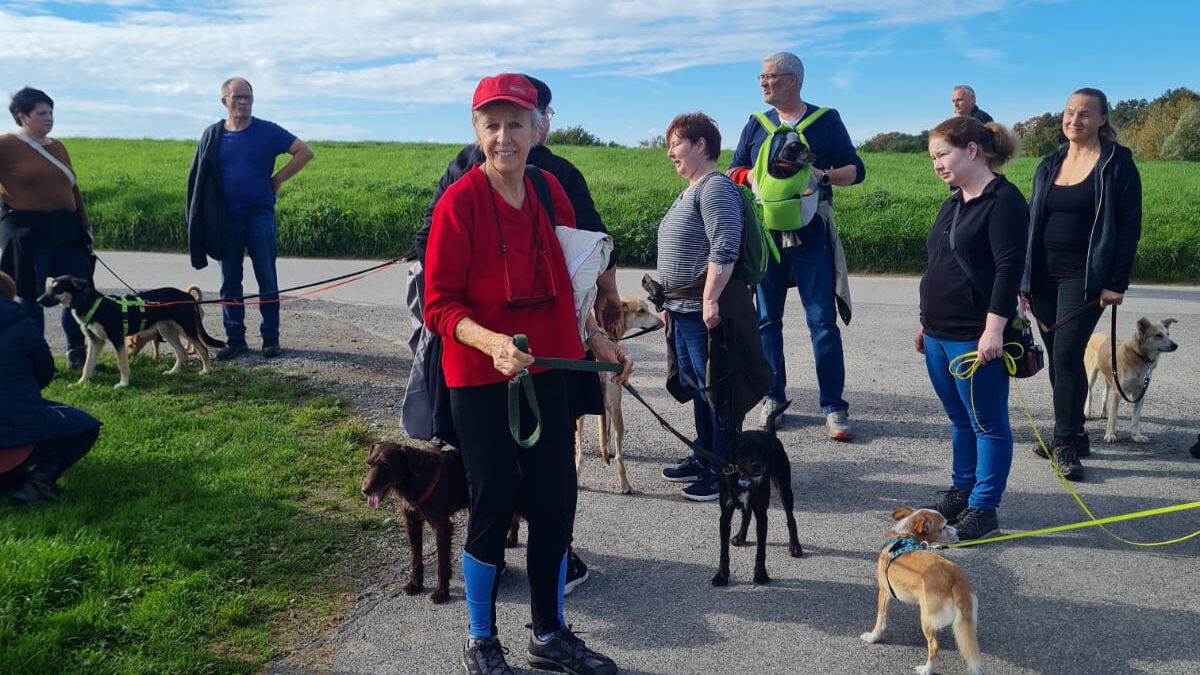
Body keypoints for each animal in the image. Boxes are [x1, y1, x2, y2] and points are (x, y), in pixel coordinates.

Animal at [38, 273, 225, 386]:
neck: (88, 302)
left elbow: (122, 364)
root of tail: (187, 296)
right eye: (49, 287)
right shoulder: (95, 341)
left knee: (202, 348)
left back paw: (206, 371)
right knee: (181, 353)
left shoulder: (116, 338)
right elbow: (87, 365)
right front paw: (81, 383)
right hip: (167, 330)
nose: (38, 300)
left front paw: (123, 384)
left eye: (57, 289)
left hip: (186, 329)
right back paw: (173, 372)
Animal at [360, 439, 520, 600]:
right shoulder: (412, 523)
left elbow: (441, 563)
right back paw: (511, 540)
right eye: (368, 464)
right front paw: (415, 584)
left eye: (386, 465)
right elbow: (416, 558)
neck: (416, 480)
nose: (364, 490)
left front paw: (441, 592)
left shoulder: (442, 526)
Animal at [573, 293, 667, 487]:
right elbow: (606, 431)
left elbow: (603, 432)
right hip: (617, 410)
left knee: (580, 453)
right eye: (641, 310)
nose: (660, 321)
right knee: (618, 455)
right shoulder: (610, 406)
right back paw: (625, 484)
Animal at [715, 398, 801, 583]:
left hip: (784, 488)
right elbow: (723, 552)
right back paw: (740, 536)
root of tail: (770, 433)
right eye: (744, 449)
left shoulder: (762, 515)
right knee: (746, 514)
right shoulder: (725, 514)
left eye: (763, 449)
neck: (745, 478)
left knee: (791, 519)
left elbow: (761, 551)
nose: (757, 465)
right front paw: (721, 576)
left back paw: (795, 546)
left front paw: (760, 574)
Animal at [859, 504, 979, 672]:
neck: (904, 536)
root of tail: (956, 577)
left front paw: (873, 637)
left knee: (934, 646)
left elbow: (880, 619)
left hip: (926, 616)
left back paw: (926, 669)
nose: (959, 533)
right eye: (943, 527)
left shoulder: (884, 593)